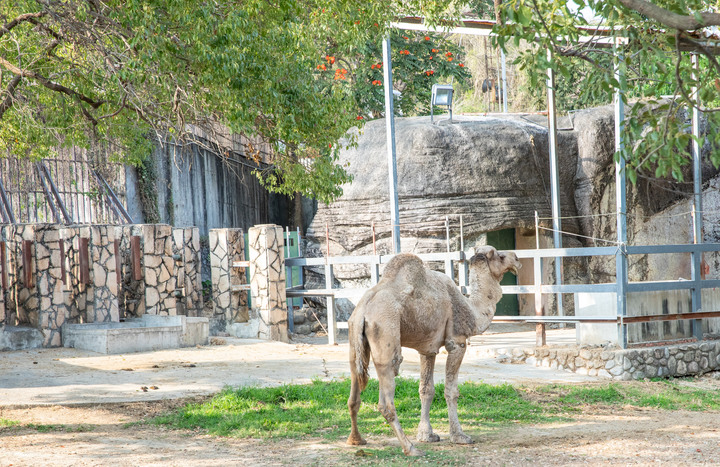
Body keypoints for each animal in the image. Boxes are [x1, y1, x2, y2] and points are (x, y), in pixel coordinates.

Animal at [346, 249, 520, 458]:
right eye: (501, 256)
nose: (517, 259)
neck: (472, 309)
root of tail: (363, 310)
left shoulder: (427, 349)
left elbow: (426, 389)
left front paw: (427, 435)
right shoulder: (457, 342)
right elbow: (451, 391)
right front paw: (459, 436)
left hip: (355, 340)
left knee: (354, 392)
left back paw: (356, 440)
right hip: (386, 333)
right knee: (386, 397)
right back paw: (410, 448)